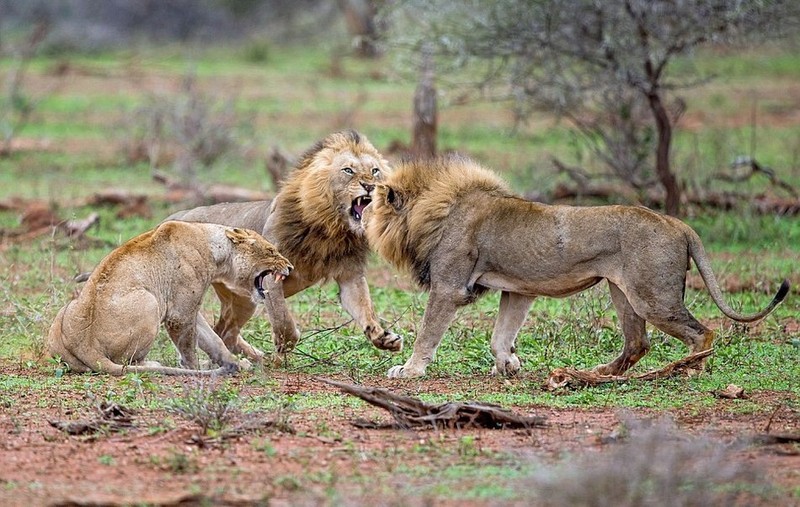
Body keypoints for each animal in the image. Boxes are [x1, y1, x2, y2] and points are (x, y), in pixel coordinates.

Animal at [45, 223, 292, 378]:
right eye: (271, 250)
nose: (290, 267)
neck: (216, 251)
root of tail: (86, 346)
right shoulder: (179, 314)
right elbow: (189, 347)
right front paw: (198, 370)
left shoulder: (191, 309)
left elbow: (213, 340)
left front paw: (235, 363)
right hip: (150, 302)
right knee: (126, 362)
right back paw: (154, 364)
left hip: (67, 311)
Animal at [168, 130, 404, 362]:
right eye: (348, 170)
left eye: (374, 171)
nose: (370, 186)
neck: (333, 229)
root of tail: (175, 216)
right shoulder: (270, 274)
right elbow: (282, 317)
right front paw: (284, 345)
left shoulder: (350, 276)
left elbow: (364, 308)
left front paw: (383, 337)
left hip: (243, 299)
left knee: (225, 332)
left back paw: (255, 359)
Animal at [366, 157, 792, 380]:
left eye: (370, 202)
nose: (360, 207)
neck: (434, 210)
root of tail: (679, 224)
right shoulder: (519, 290)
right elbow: (501, 335)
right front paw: (509, 366)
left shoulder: (449, 287)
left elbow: (427, 334)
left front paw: (409, 370)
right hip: (623, 292)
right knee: (638, 342)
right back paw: (602, 373)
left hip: (652, 297)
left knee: (702, 333)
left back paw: (686, 370)